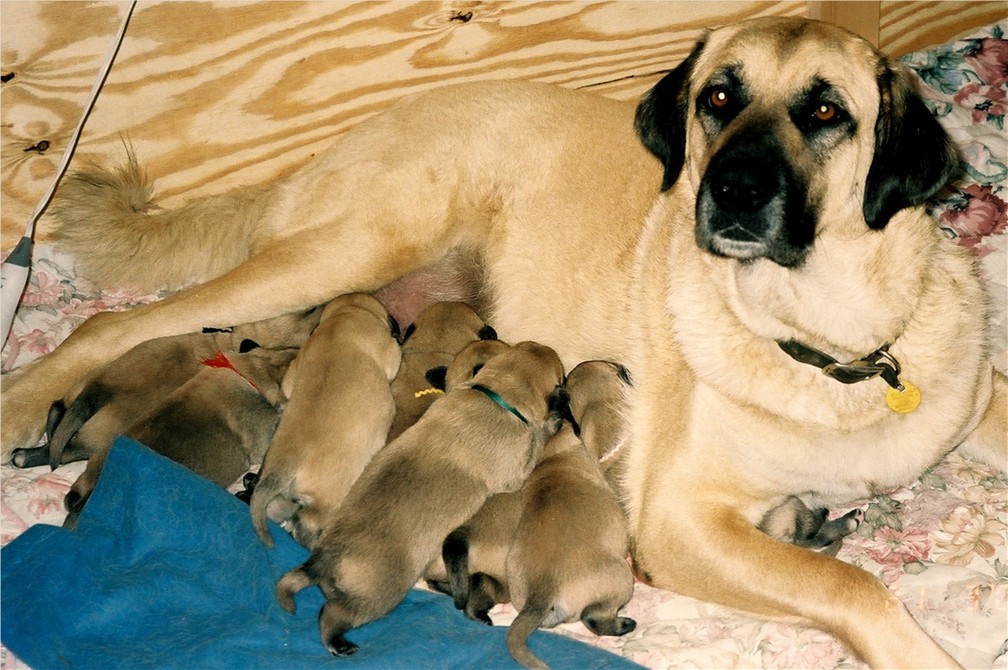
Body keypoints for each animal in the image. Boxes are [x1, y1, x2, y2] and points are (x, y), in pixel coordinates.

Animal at [276, 342, 568, 656]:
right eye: (562, 377)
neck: (494, 393)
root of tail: (325, 557)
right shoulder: (516, 474)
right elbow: (538, 440)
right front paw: (553, 421)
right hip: (378, 595)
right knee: (332, 615)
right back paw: (340, 645)